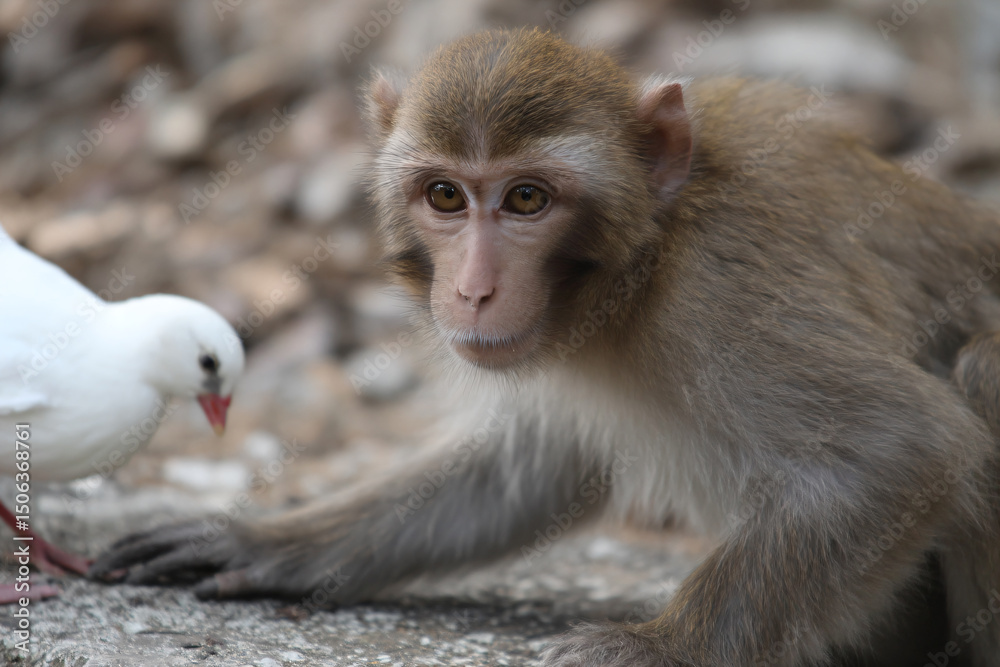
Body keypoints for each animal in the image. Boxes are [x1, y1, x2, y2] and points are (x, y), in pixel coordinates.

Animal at [90, 28, 1000, 666]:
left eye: (528, 199)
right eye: (445, 196)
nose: (472, 290)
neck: (645, 262)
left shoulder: (722, 299)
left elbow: (907, 444)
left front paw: (655, 648)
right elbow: (531, 465)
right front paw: (270, 542)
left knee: (975, 367)